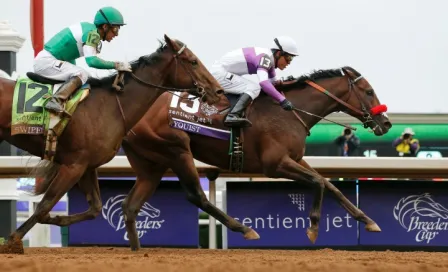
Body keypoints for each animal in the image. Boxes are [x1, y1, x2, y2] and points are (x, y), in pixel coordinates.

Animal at [0, 35, 223, 254]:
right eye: (193, 61)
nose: (219, 91)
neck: (111, 107)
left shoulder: (86, 165)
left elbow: (94, 208)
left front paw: (57, 219)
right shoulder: (73, 165)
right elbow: (44, 206)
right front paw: (12, 241)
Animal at [114, 65, 392, 250]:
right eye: (369, 92)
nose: (386, 123)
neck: (289, 111)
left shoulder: (295, 159)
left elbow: (329, 184)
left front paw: (368, 220)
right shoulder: (275, 164)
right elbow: (318, 183)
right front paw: (313, 229)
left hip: (151, 163)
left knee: (130, 205)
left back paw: (137, 250)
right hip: (176, 150)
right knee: (196, 196)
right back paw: (245, 229)